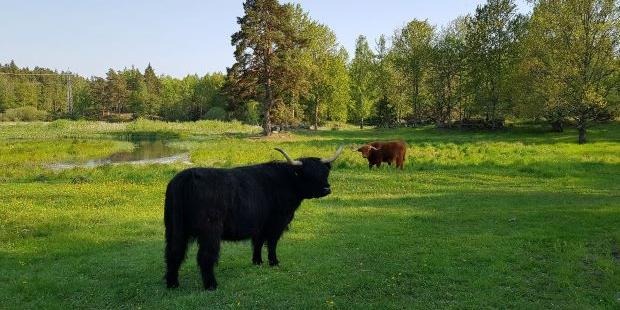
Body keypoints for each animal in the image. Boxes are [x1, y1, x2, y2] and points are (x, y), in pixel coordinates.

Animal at [162, 146, 344, 290]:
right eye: (309, 174)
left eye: (325, 172)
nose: (327, 189)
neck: (286, 181)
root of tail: (185, 177)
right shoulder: (277, 222)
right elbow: (271, 243)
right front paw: (274, 262)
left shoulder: (260, 224)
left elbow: (258, 242)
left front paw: (257, 261)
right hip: (210, 230)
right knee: (205, 256)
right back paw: (211, 285)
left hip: (174, 229)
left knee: (173, 252)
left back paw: (172, 284)